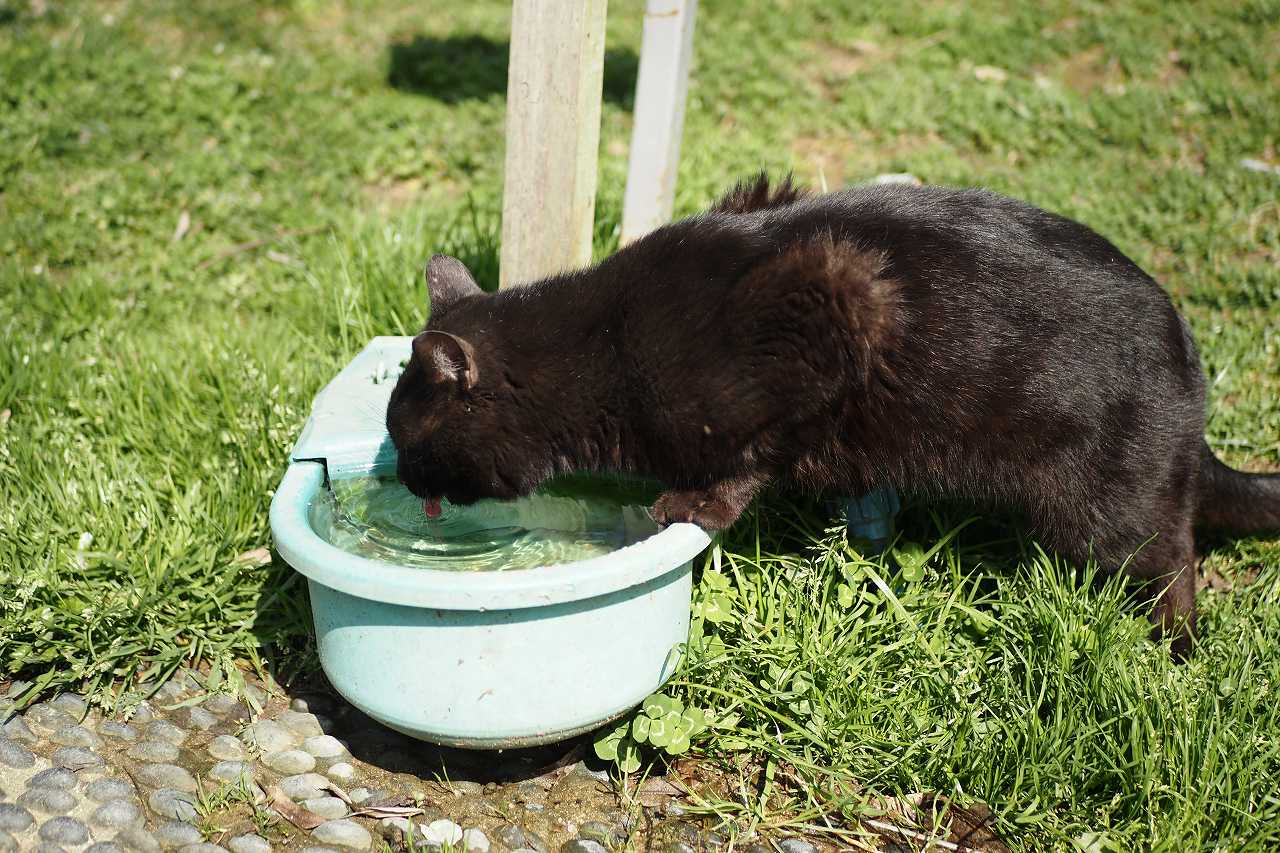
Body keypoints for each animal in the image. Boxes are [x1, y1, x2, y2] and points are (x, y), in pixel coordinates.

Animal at [386, 172, 1280, 650]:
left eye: (405, 437)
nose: (398, 475)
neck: (606, 346)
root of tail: (1189, 366)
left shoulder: (836, 294)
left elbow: (753, 453)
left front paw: (694, 504)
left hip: (1107, 503)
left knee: (1172, 555)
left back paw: (1171, 648)